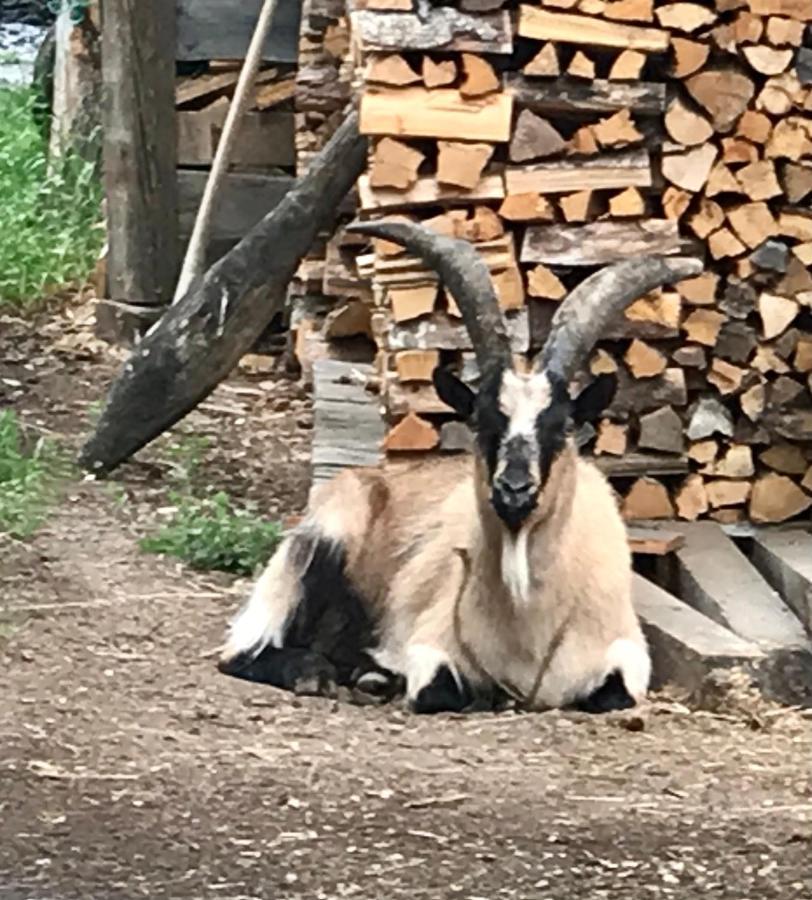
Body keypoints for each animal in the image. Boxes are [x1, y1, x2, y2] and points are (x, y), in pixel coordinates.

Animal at [219, 225, 700, 716]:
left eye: (561, 426)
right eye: (482, 421)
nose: (514, 489)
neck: (529, 628)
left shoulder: (628, 655)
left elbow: (613, 694)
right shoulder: (428, 645)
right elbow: (440, 690)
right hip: (327, 534)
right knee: (244, 651)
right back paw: (324, 674)